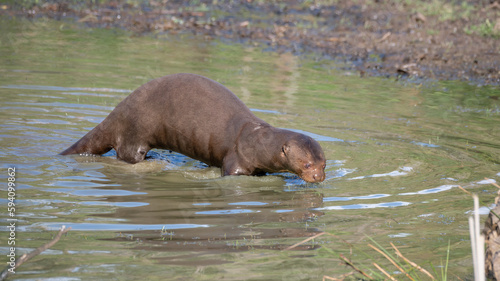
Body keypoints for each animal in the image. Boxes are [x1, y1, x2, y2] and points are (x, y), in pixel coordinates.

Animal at [60, 72, 326, 182]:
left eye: (324, 164)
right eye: (307, 164)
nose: (319, 177)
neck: (256, 141)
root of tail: (116, 113)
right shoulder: (236, 160)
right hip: (133, 133)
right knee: (125, 155)